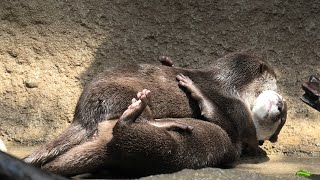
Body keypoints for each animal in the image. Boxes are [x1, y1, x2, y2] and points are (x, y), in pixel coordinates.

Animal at [23, 52, 282, 168]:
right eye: (275, 78)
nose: (280, 88)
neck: (229, 84)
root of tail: (82, 113)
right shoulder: (236, 106)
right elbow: (244, 135)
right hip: (124, 92)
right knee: (142, 120)